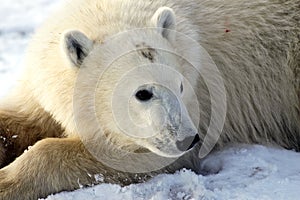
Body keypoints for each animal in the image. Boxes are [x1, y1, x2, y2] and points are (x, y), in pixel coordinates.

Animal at [0, 0, 300, 199]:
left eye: (180, 85)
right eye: (142, 93)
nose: (187, 140)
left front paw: (5, 181)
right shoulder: (43, 88)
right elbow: (23, 118)